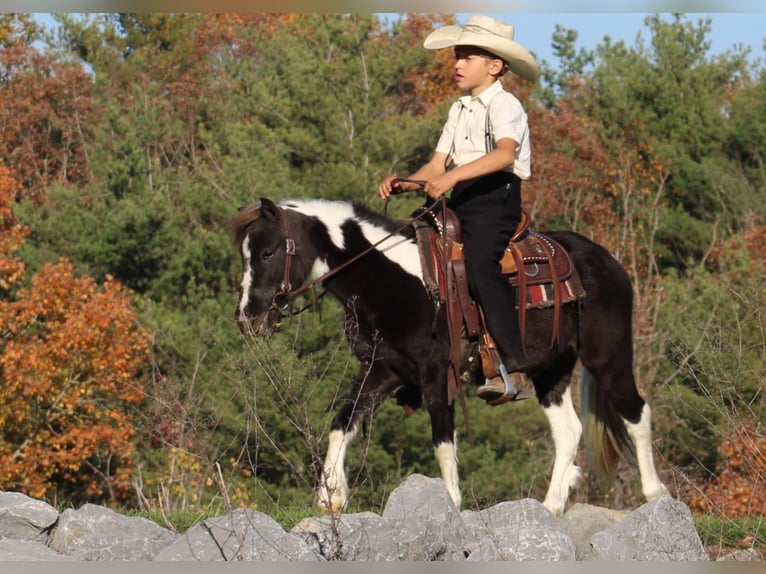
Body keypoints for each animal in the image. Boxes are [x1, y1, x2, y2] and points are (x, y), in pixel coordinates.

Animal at [231, 197, 668, 516]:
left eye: (268, 252)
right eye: (245, 255)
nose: (247, 318)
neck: (397, 282)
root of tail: (608, 262)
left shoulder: (436, 374)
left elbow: (442, 440)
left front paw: (451, 503)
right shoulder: (382, 371)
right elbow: (343, 422)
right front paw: (330, 496)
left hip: (608, 356)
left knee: (636, 413)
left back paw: (655, 494)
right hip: (552, 371)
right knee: (569, 431)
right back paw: (551, 505)